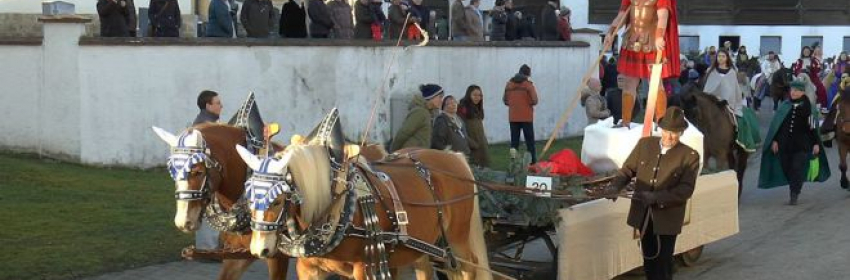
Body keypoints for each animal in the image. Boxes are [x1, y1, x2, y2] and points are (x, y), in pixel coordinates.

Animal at [237, 109, 490, 280]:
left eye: (278, 200)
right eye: (248, 196)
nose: (260, 249)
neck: (337, 205)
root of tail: (454, 156)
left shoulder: (364, 268)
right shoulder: (309, 270)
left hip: (457, 238)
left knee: (468, 267)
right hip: (422, 244)